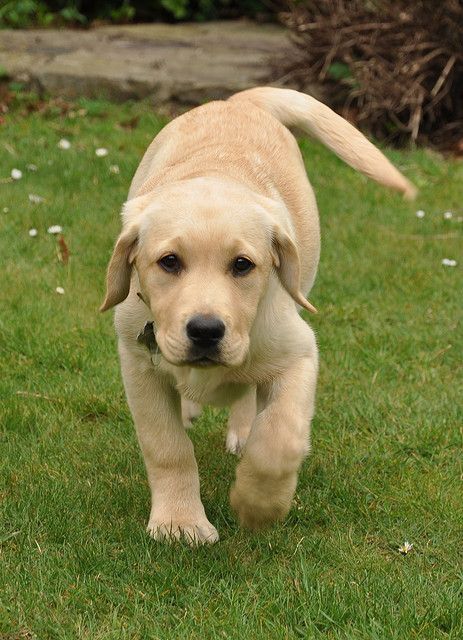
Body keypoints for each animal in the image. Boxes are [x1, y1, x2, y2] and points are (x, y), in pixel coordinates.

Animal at [101, 87, 416, 544]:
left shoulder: (299, 353)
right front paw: (180, 521)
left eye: (243, 265)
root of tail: (239, 101)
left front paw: (258, 504)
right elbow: (167, 447)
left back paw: (243, 431)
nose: (206, 331)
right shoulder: (138, 362)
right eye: (169, 262)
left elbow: (279, 439)